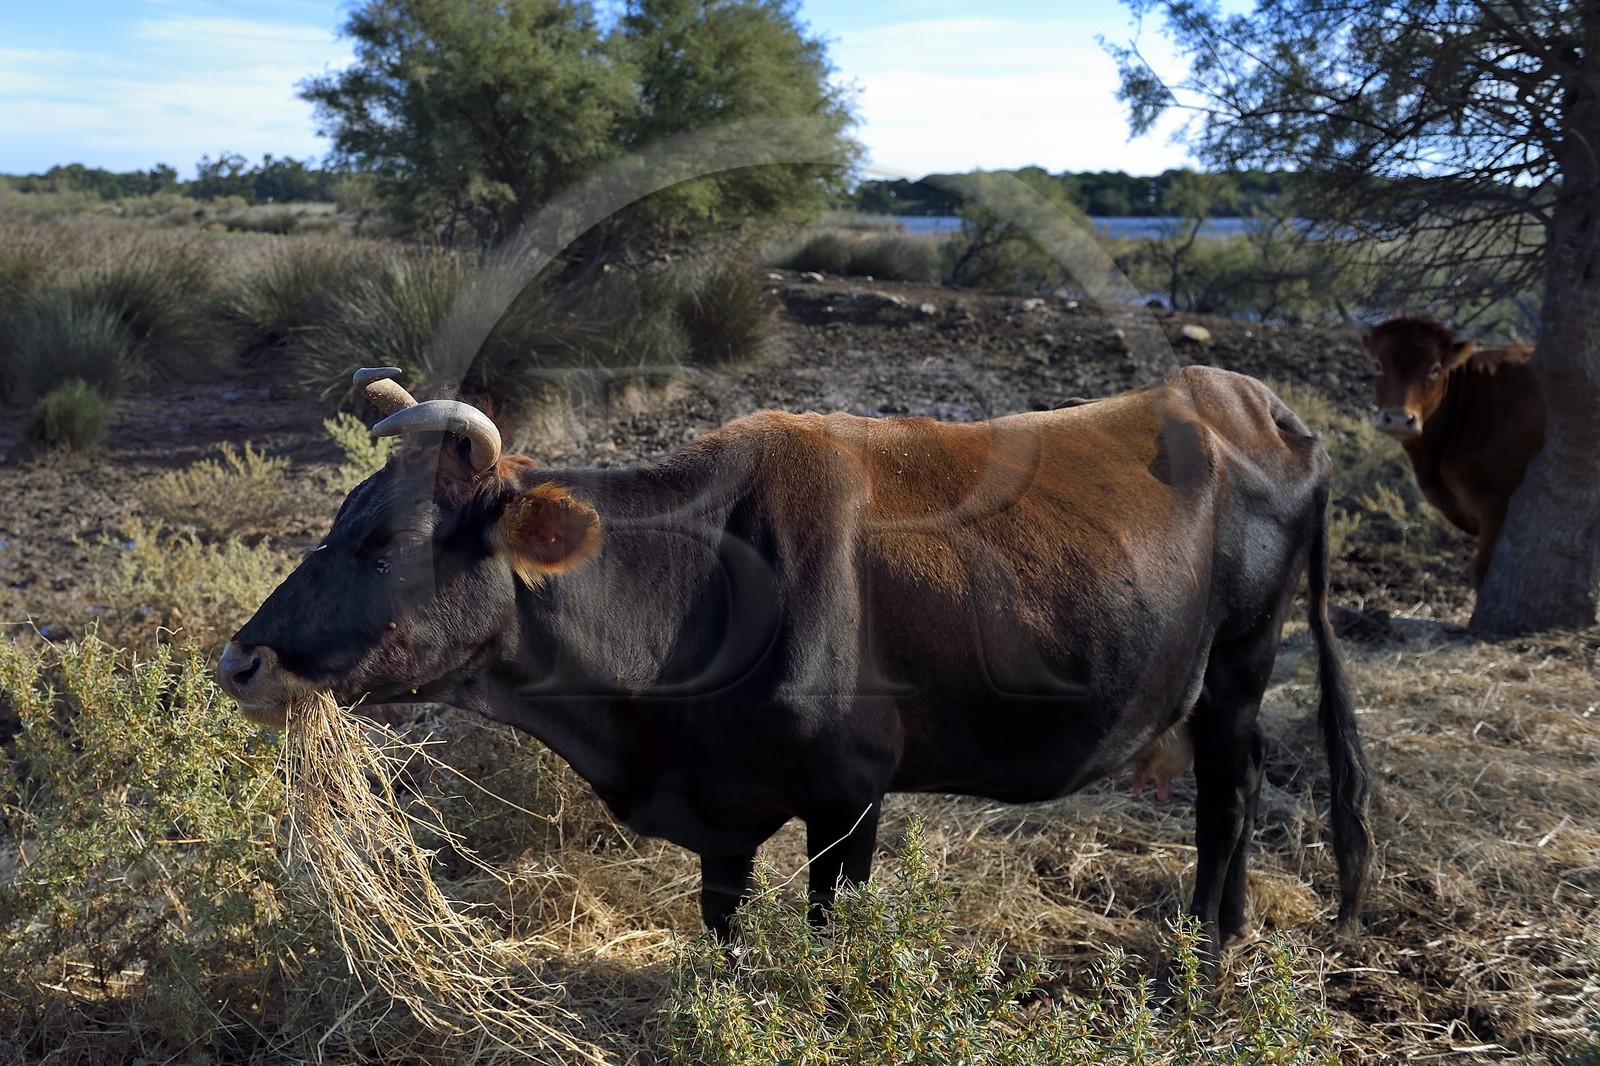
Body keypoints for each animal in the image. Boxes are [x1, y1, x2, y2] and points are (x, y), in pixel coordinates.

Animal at [219, 364, 1371, 953]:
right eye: (341, 519)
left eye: (388, 543)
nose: (241, 662)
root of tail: (1252, 399)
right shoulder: (722, 812)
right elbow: (723, 936)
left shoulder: (850, 795)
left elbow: (825, 939)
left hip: (1239, 664)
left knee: (1229, 792)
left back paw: (1204, 949)